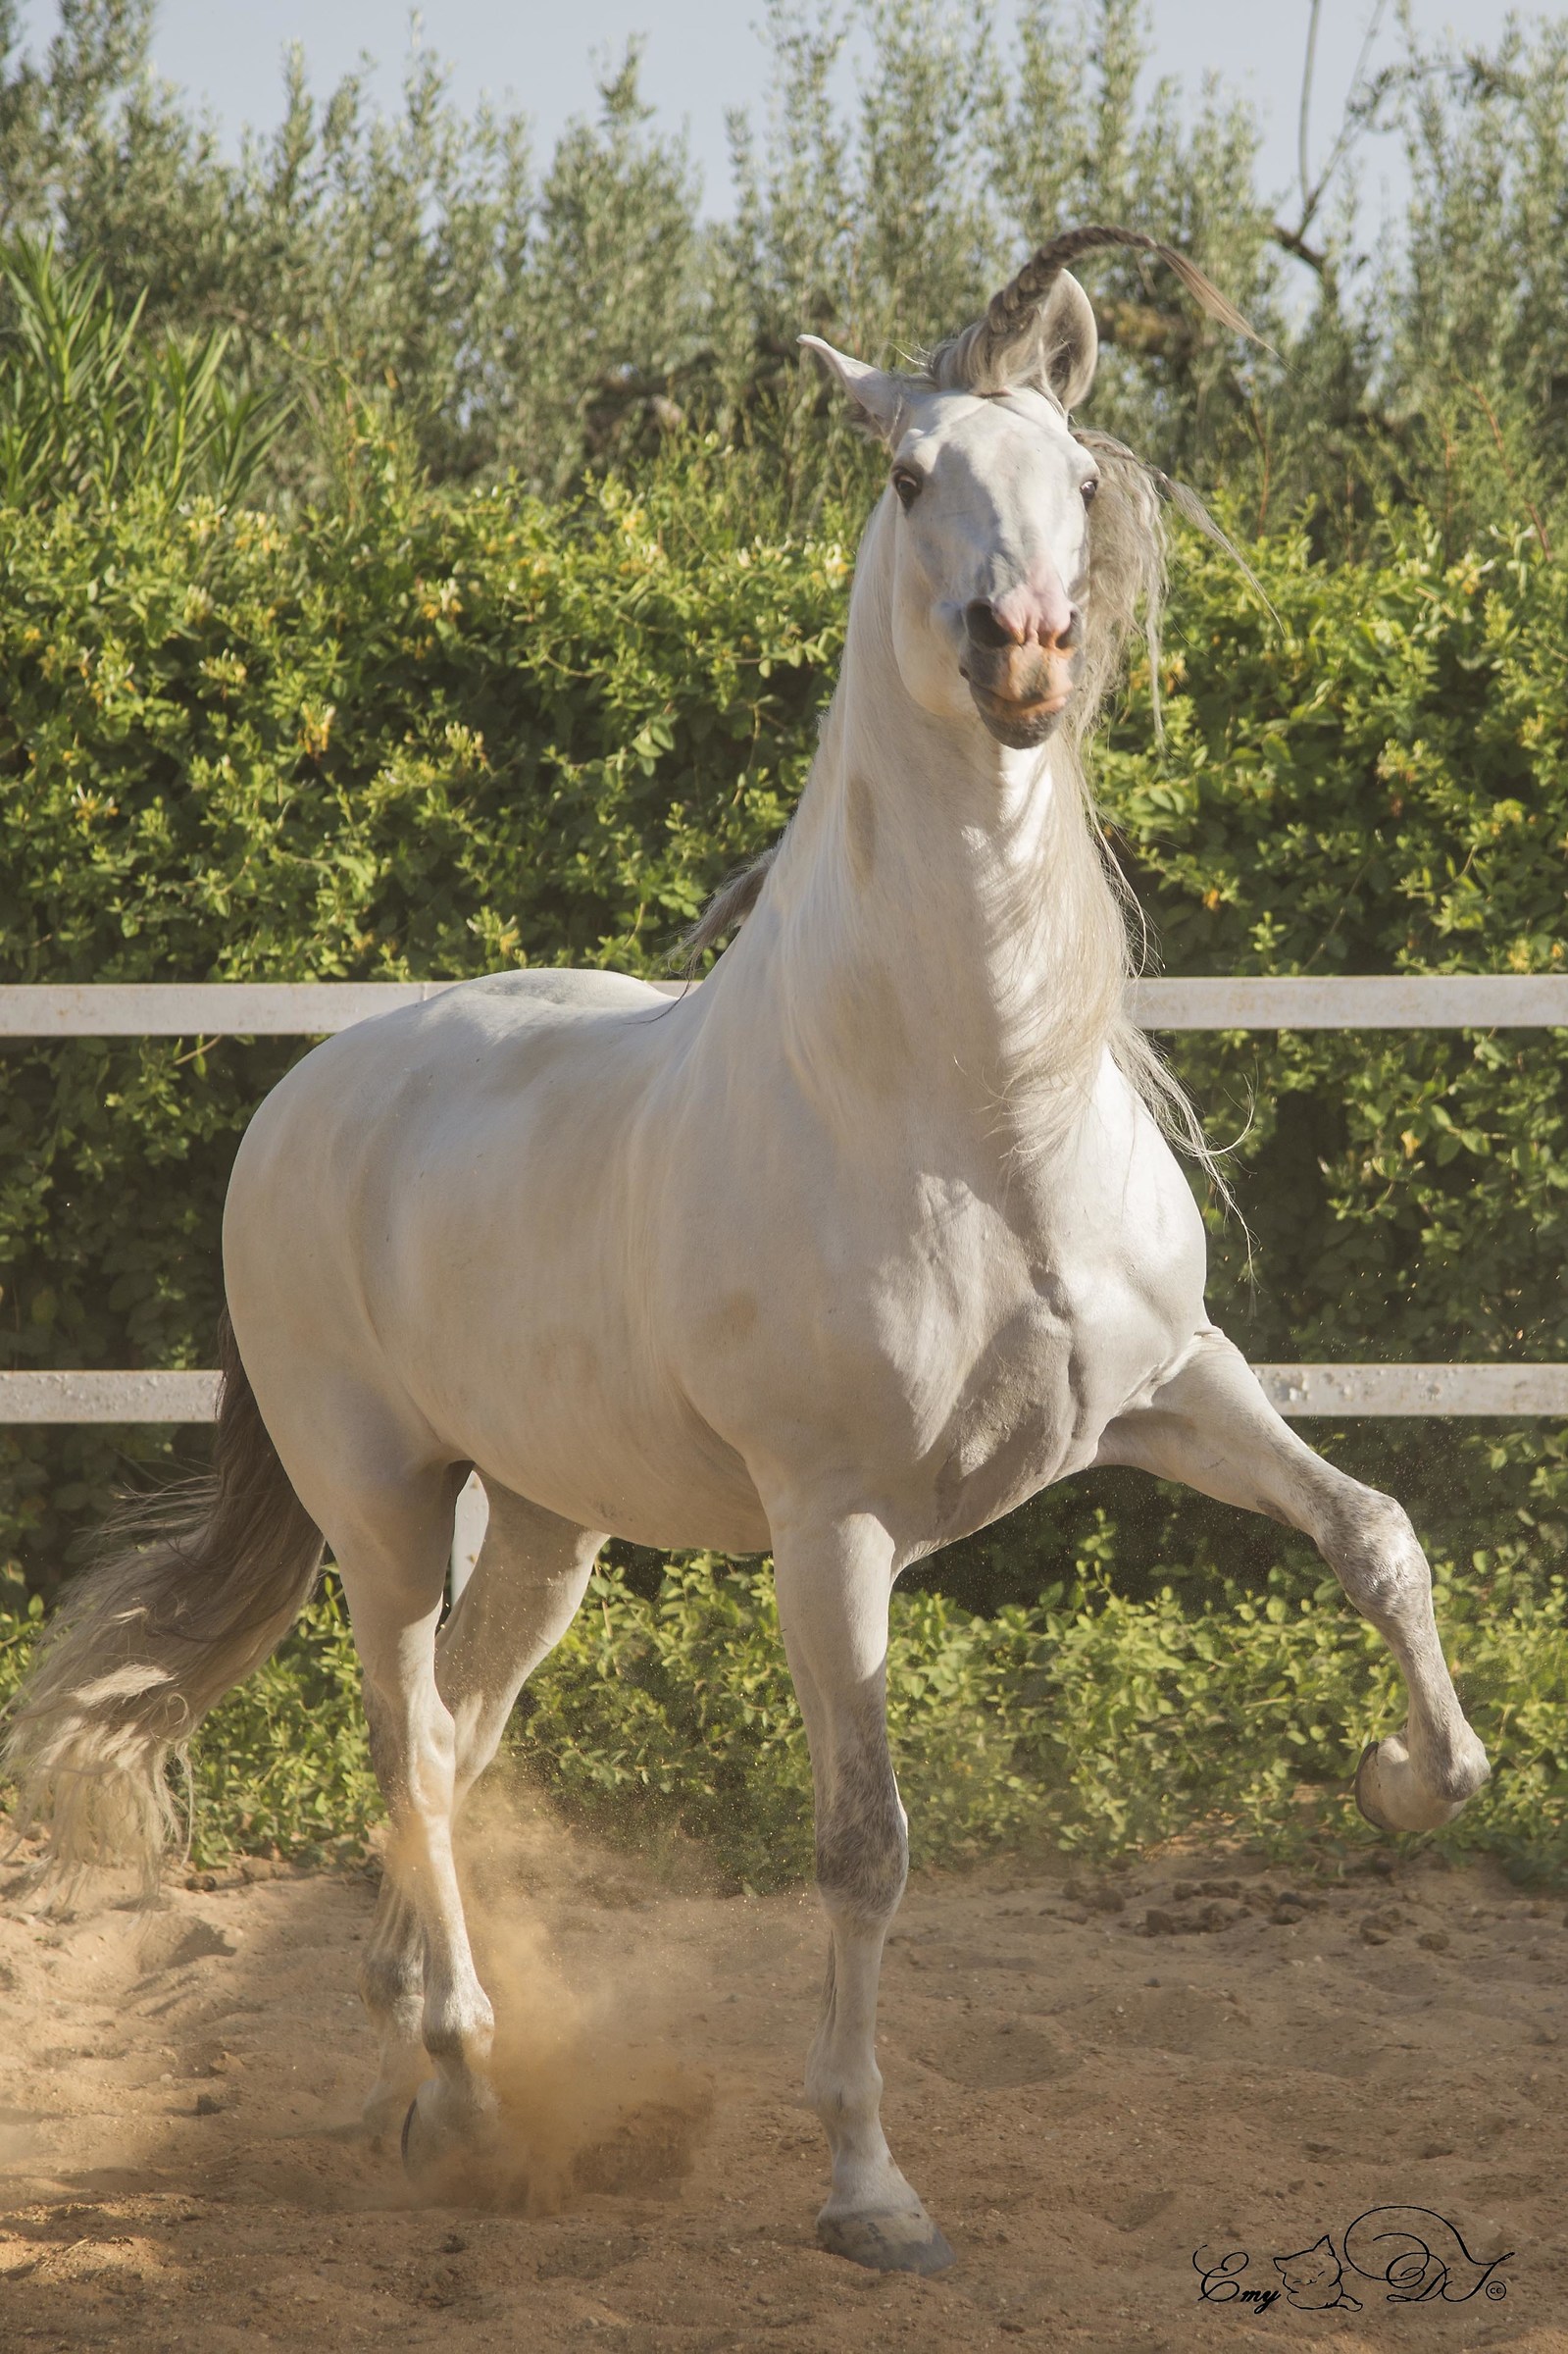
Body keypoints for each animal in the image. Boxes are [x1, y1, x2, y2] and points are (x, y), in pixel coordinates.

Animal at [5, 225, 1490, 2277]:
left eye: (1074, 477)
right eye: (907, 476)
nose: (1023, 651)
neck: (964, 1119)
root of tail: (307, 1091)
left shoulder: (1170, 1393)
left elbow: (1372, 1532)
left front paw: (1413, 1782)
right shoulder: (829, 1519)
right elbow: (860, 1841)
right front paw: (869, 2192)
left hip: (541, 1530)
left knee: (454, 1752)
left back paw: (407, 2054)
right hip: (379, 1506)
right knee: (405, 1751)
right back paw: (459, 2087)